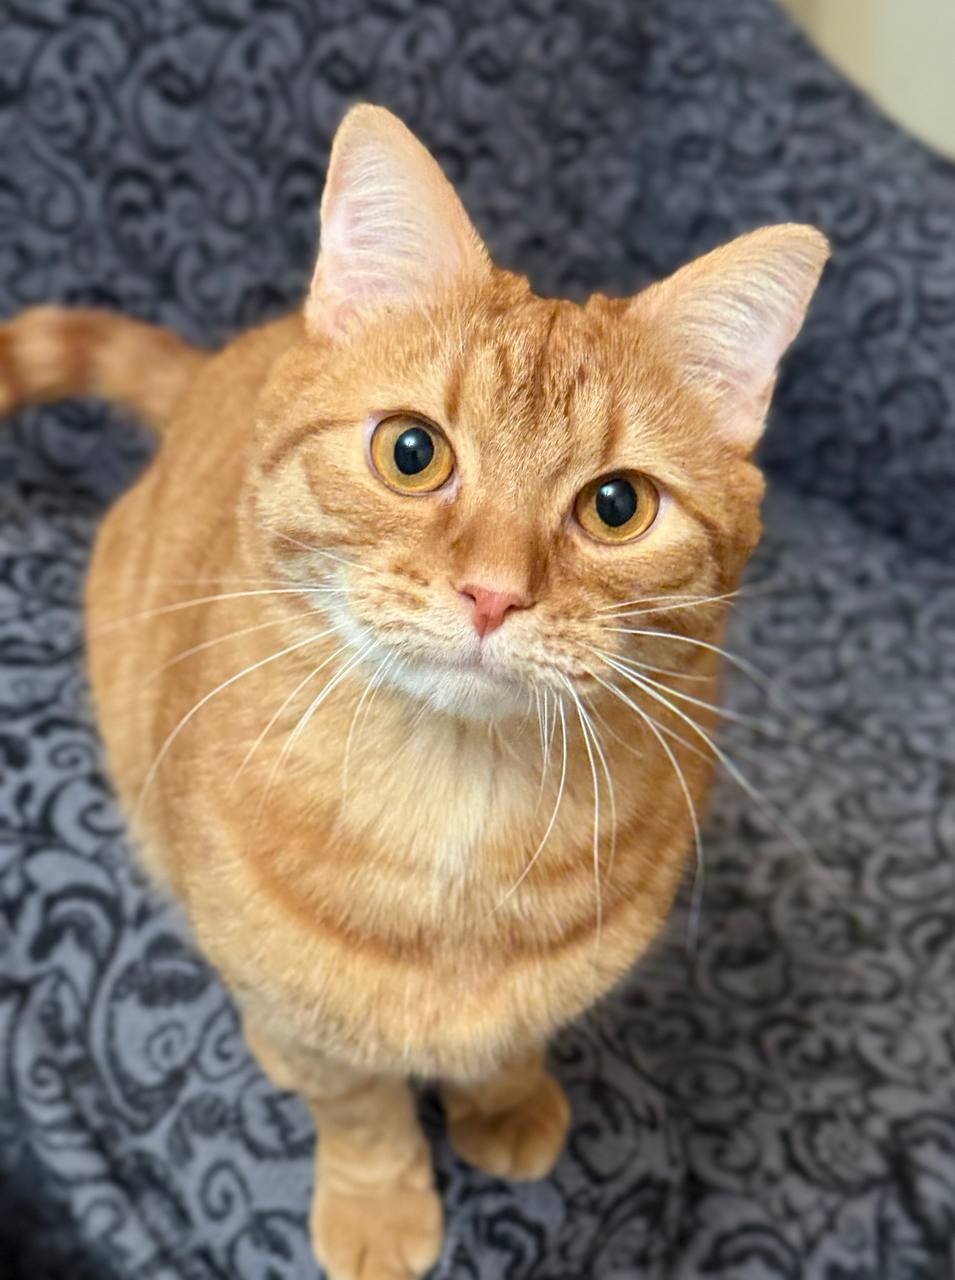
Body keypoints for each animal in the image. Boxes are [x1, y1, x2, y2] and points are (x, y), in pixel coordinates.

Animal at [0, 105, 827, 1280]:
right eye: (410, 452)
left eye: (616, 505)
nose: (492, 593)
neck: (456, 817)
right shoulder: (307, 1006)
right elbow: (359, 1111)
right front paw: (381, 1206)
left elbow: (513, 1041)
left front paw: (506, 1101)